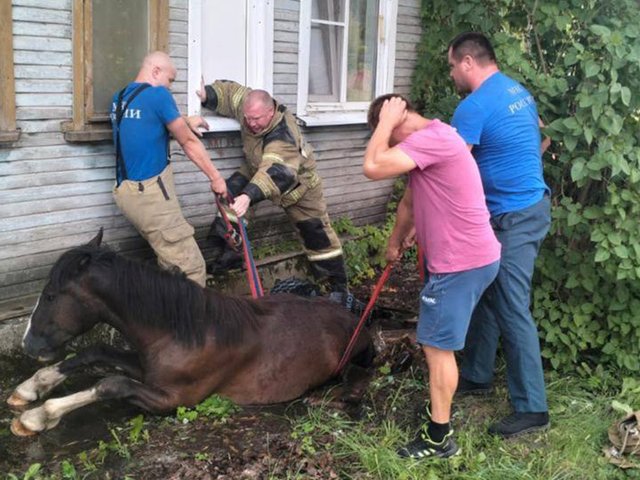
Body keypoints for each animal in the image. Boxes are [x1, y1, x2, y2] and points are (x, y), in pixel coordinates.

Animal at [7, 231, 372, 436]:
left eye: (51, 295)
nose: (27, 344)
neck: (183, 332)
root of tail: (354, 316)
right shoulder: (148, 370)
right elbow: (94, 352)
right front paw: (30, 387)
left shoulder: (175, 399)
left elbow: (111, 384)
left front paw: (38, 416)